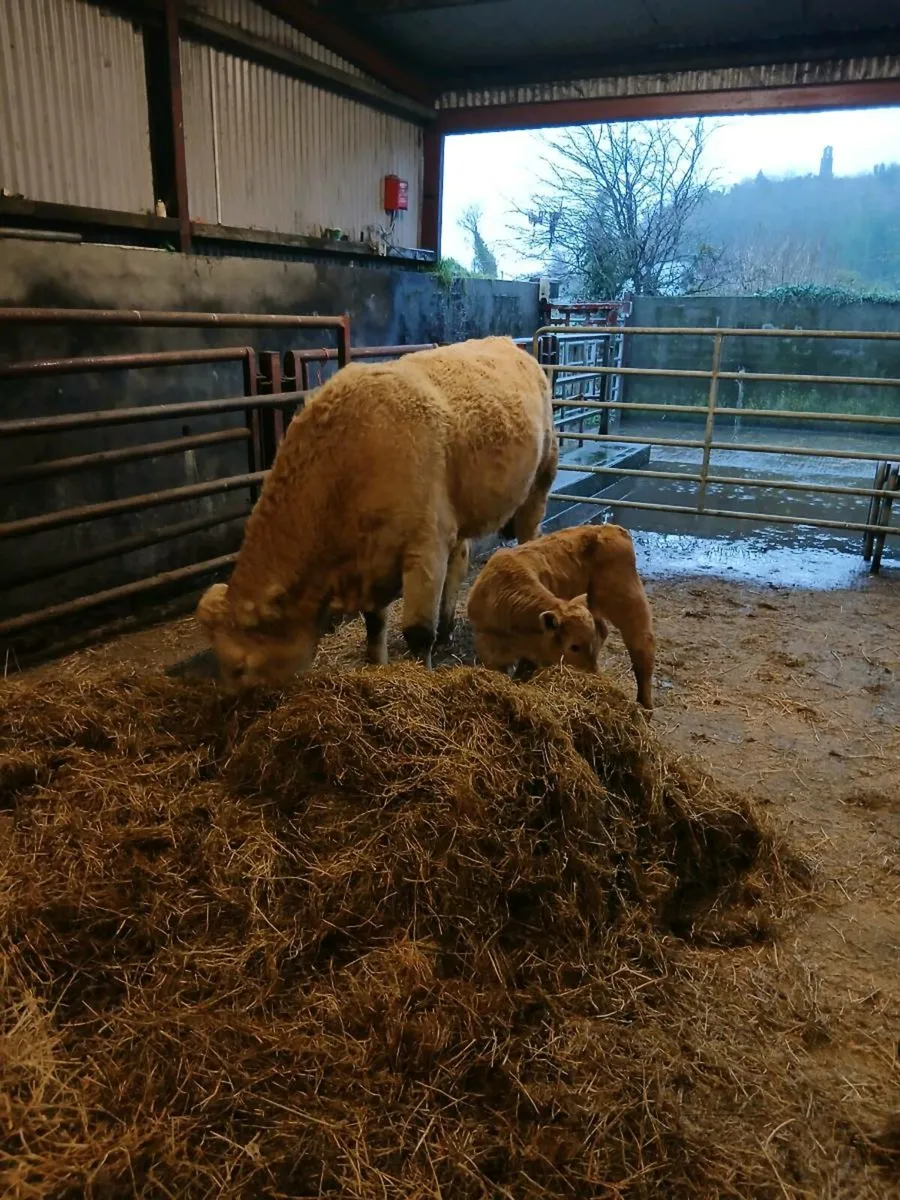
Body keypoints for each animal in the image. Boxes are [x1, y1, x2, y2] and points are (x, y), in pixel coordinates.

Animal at [196, 336, 558, 691]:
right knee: (461, 557)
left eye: (240, 667)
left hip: (539, 482)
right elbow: (374, 623)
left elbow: (417, 632)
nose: (228, 704)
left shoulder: (426, 544)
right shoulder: (374, 557)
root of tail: (510, 343)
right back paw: (446, 629)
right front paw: (376, 665)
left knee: (529, 537)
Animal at [466, 523, 655, 710]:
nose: (592, 675)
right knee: (606, 630)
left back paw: (645, 704)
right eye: (574, 646)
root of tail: (612, 529)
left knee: (642, 644)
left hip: (627, 601)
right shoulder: (488, 649)